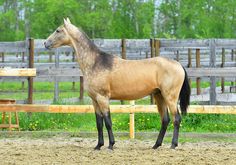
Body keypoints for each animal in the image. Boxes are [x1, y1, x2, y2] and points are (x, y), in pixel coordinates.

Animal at [45, 18, 191, 151]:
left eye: (58, 30)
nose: (45, 43)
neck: (95, 63)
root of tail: (178, 64)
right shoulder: (94, 100)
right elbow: (99, 123)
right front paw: (98, 146)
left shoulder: (103, 98)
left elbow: (108, 122)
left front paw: (111, 145)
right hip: (159, 96)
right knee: (165, 120)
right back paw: (156, 145)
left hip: (170, 97)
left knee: (176, 118)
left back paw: (173, 145)